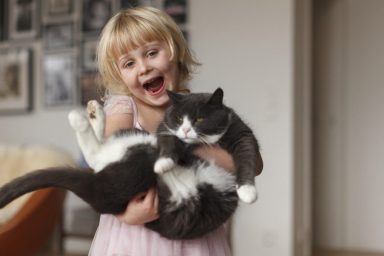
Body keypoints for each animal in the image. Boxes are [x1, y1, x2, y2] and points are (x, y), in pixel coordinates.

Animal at [0, 87, 260, 239]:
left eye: (199, 119)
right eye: (178, 118)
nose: (185, 130)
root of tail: (97, 188)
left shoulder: (242, 134)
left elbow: (249, 156)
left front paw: (248, 191)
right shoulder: (164, 131)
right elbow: (169, 142)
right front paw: (166, 161)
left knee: (98, 154)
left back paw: (87, 115)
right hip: (141, 143)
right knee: (99, 152)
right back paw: (88, 114)